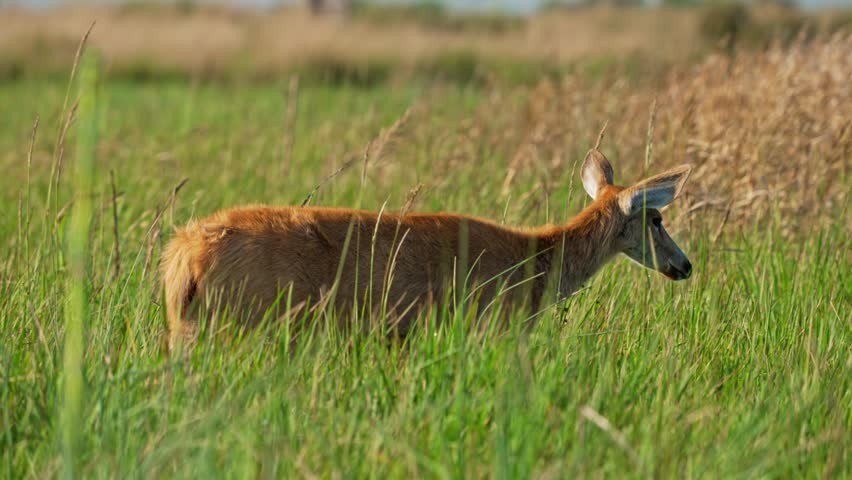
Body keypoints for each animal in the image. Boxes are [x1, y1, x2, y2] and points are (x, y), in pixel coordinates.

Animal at [160, 148, 693, 349]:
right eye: (657, 218)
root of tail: (183, 256)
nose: (685, 265)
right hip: (247, 322)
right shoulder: (491, 324)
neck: (536, 261)